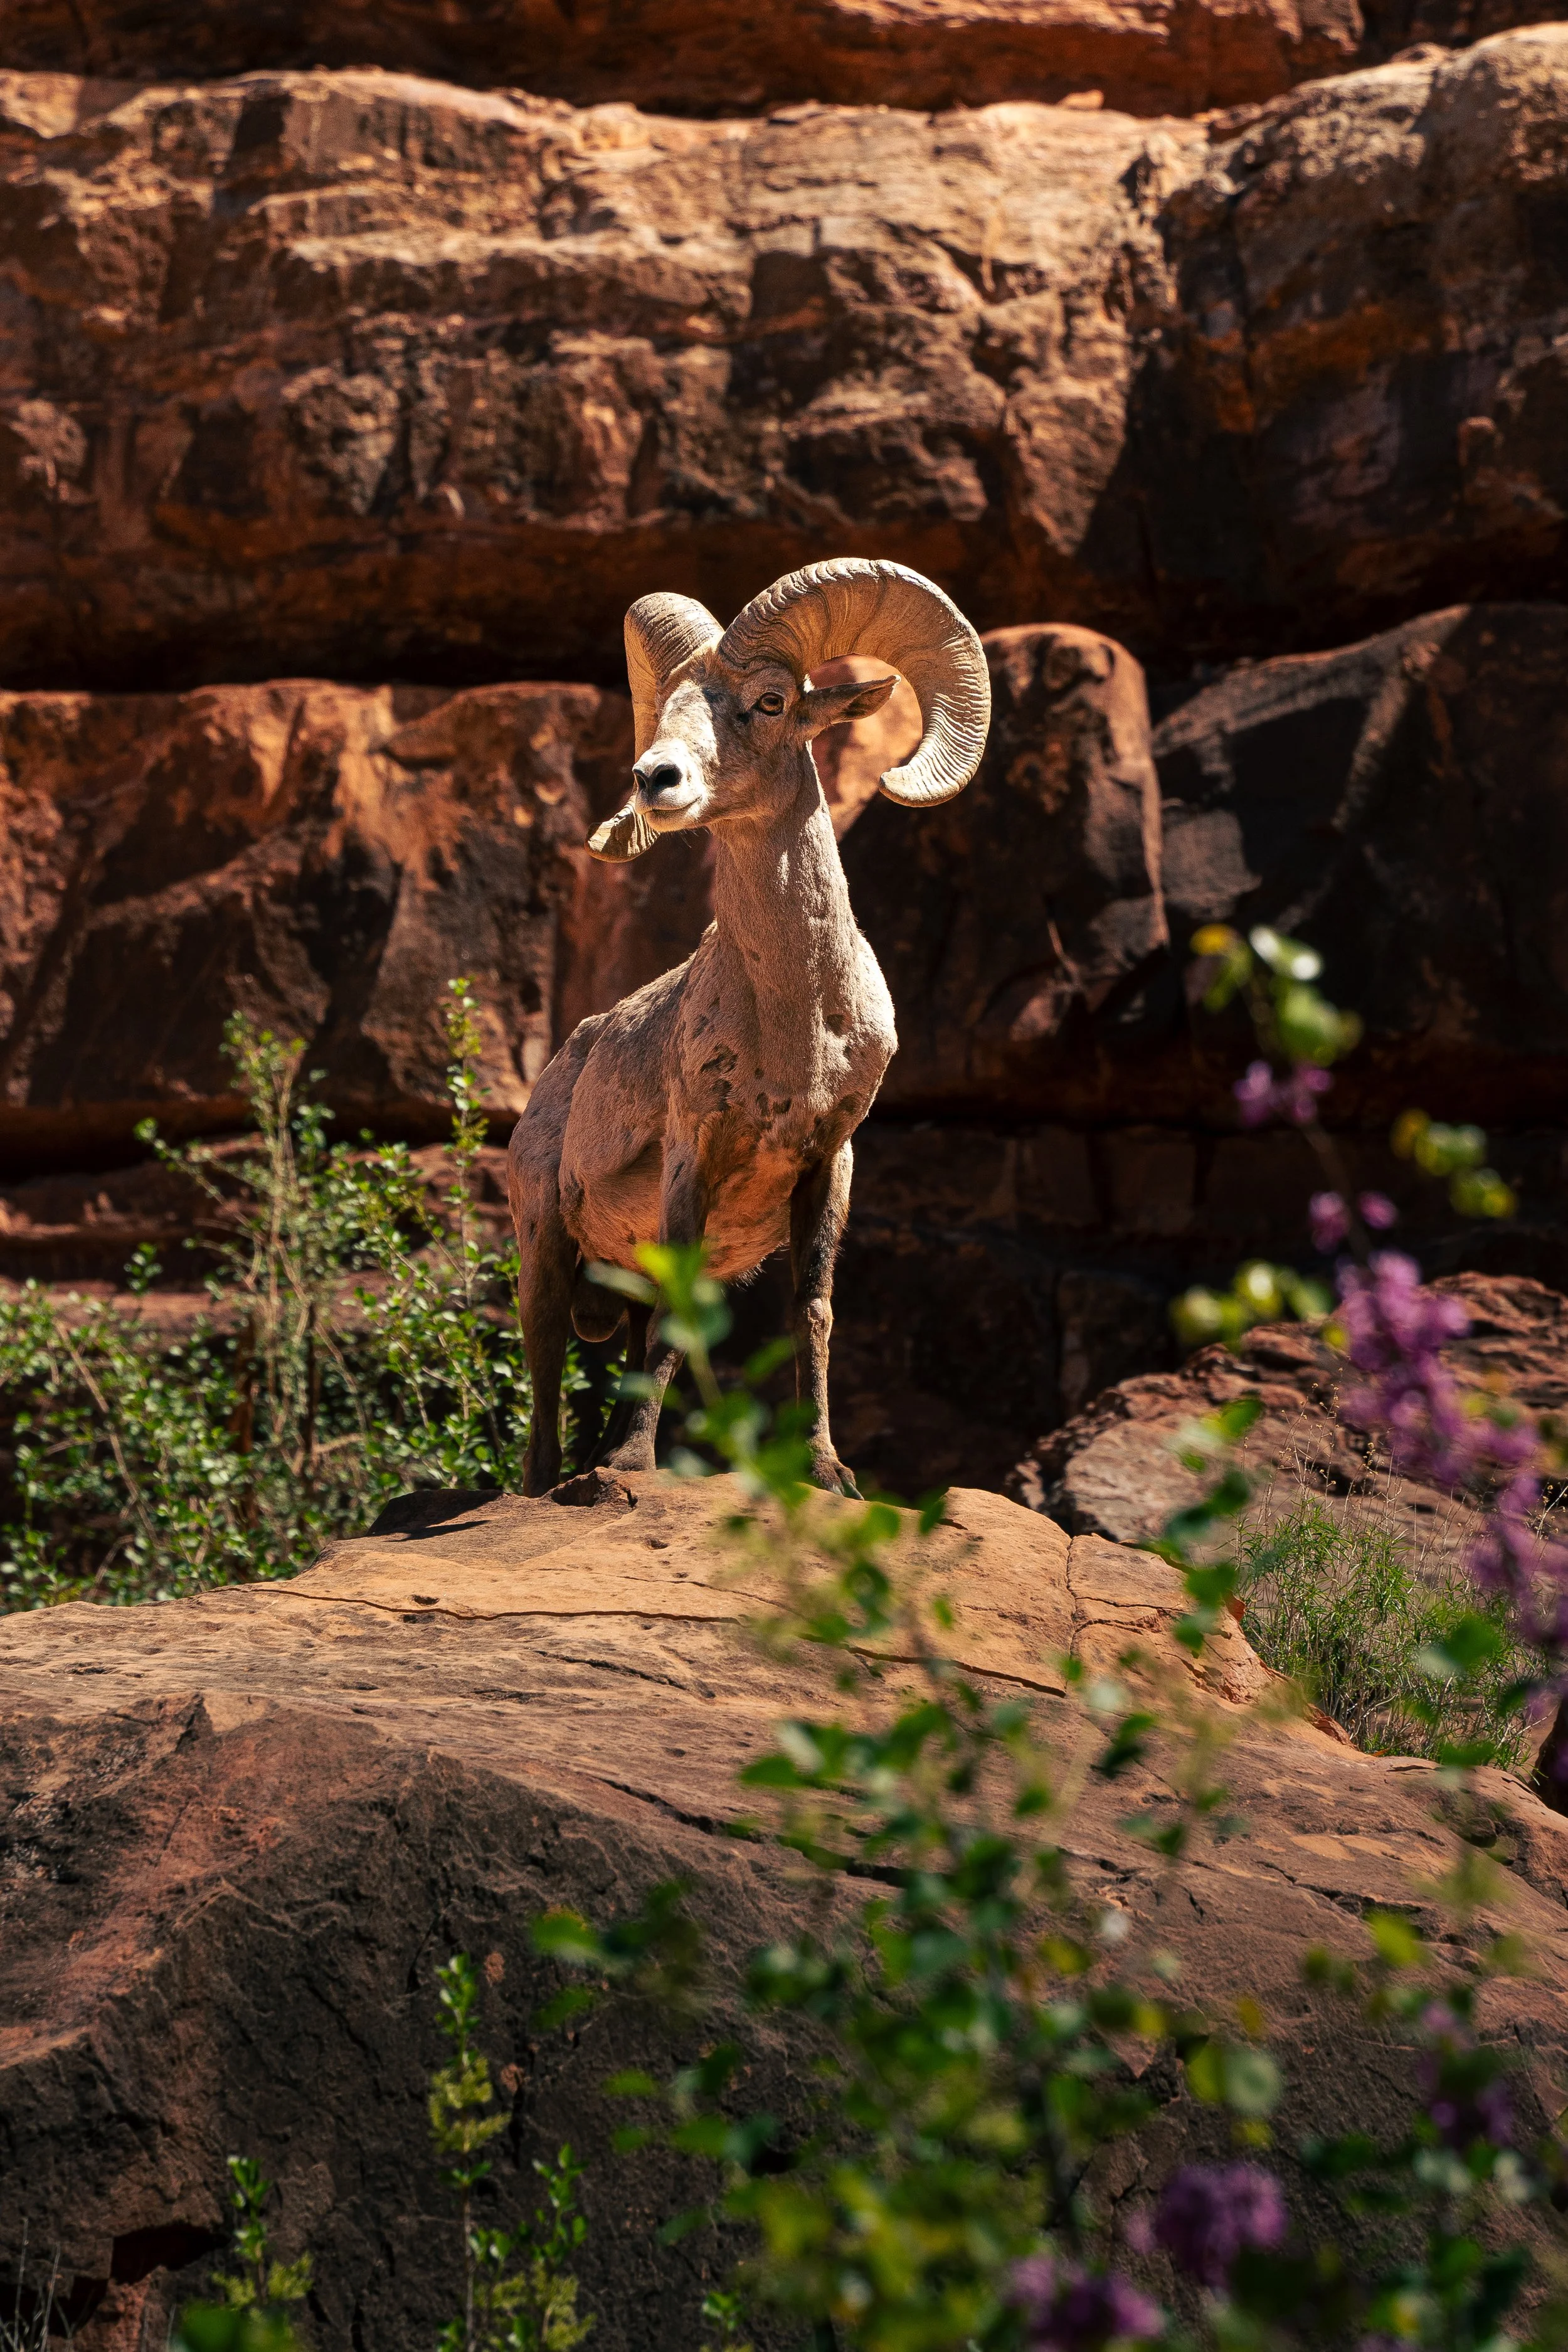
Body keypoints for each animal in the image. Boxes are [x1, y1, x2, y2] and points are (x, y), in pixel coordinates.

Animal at [506, 556, 991, 1497]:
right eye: (665, 706)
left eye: (769, 701)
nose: (655, 780)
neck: (797, 1033)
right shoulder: (695, 1155)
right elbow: (679, 1331)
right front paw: (631, 1469)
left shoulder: (826, 1167)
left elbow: (811, 1315)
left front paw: (827, 1472)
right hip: (544, 1243)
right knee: (545, 1367)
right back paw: (558, 1483)